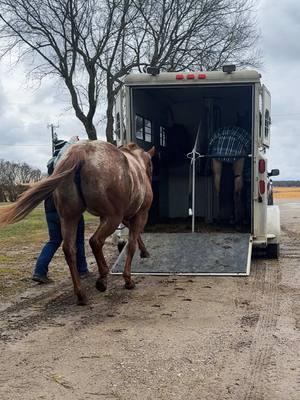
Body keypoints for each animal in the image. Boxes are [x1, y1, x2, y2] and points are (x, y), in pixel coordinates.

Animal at [0, 140, 155, 304]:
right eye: (151, 166)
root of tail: (81, 151)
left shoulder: (126, 216)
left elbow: (135, 237)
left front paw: (144, 251)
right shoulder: (139, 214)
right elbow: (131, 245)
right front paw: (128, 280)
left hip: (70, 218)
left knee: (69, 249)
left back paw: (81, 294)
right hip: (112, 218)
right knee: (95, 241)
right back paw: (102, 279)